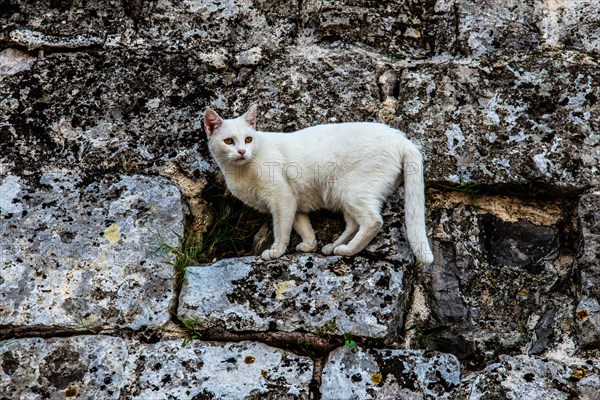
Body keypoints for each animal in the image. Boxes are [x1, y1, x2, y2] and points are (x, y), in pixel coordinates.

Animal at [204, 104, 434, 264]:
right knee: (353, 224)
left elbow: (281, 229)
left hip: (352, 191)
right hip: (345, 195)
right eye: (229, 141)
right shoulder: (293, 203)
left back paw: (347, 250)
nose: (242, 151)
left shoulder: (281, 198)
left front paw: (276, 251)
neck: (240, 171)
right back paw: (333, 246)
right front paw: (309, 245)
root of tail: (403, 139)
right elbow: (302, 226)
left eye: (248, 139)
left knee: (373, 221)